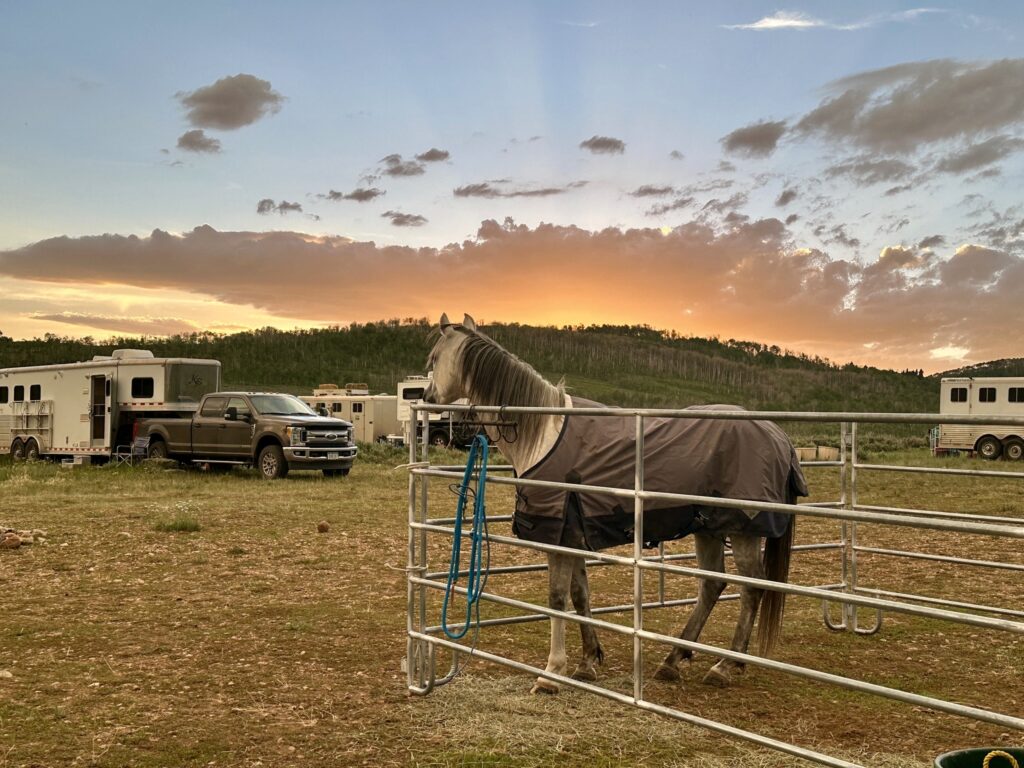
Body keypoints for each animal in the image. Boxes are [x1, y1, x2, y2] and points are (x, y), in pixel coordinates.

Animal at [423, 315, 806, 696]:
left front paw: (551, 673)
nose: (427, 398)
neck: (543, 432)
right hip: (709, 528)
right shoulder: (571, 536)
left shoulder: (557, 538)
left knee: (753, 586)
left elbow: (557, 599)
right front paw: (587, 662)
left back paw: (724, 666)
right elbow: (580, 595)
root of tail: (779, 436)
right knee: (712, 585)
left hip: (743, 529)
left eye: (434, 358)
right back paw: (673, 660)